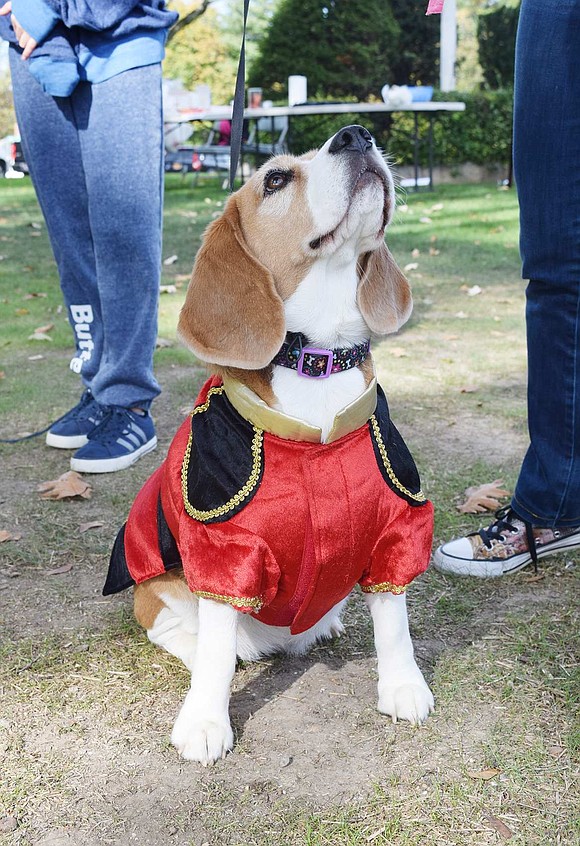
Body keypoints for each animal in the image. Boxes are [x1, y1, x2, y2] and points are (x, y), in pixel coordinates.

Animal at [104, 126, 432, 768]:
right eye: (276, 179)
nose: (356, 134)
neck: (317, 360)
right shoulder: (226, 550)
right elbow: (213, 652)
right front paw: (205, 721)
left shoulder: (395, 526)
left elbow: (394, 619)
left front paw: (403, 685)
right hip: (155, 590)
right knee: (190, 637)